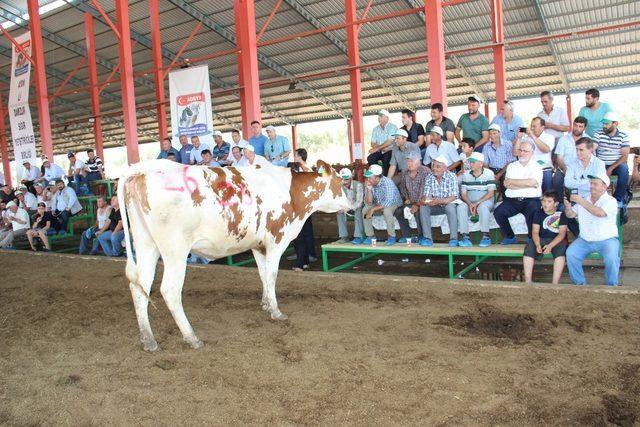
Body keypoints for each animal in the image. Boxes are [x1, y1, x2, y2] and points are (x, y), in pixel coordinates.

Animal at [117, 159, 352, 352]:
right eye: (340, 183)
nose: (351, 205)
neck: (291, 194)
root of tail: (143, 169)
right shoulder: (276, 240)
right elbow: (272, 275)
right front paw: (276, 312)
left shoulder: (258, 245)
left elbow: (263, 275)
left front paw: (266, 303)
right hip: (175, 249)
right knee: (170, 290)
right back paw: (192, 338)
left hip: (146, 245)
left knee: (140, 286)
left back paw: (148, 339)